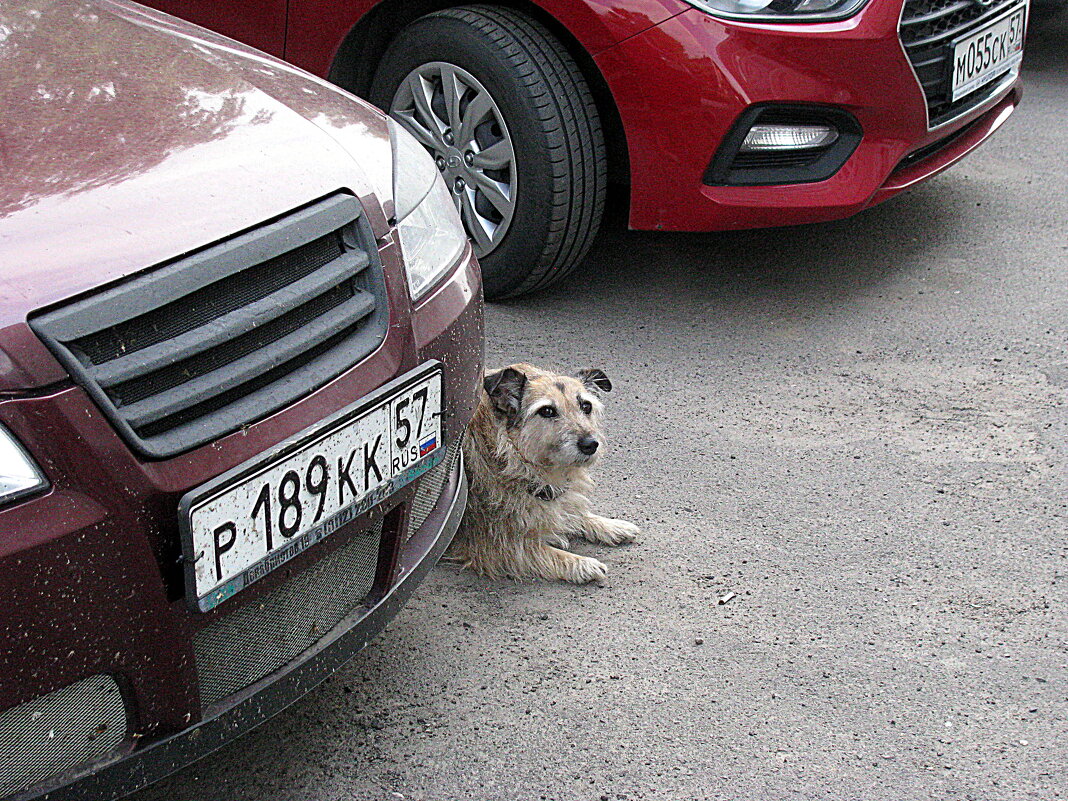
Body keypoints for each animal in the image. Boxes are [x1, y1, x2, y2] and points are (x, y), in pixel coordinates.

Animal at [448, 363, 636, 585]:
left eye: (586, 406)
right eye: (547, 410)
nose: (591, 444)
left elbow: (574, 513)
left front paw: (612, 526)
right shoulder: (496, 547)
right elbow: (544, 552)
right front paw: (582, 564)